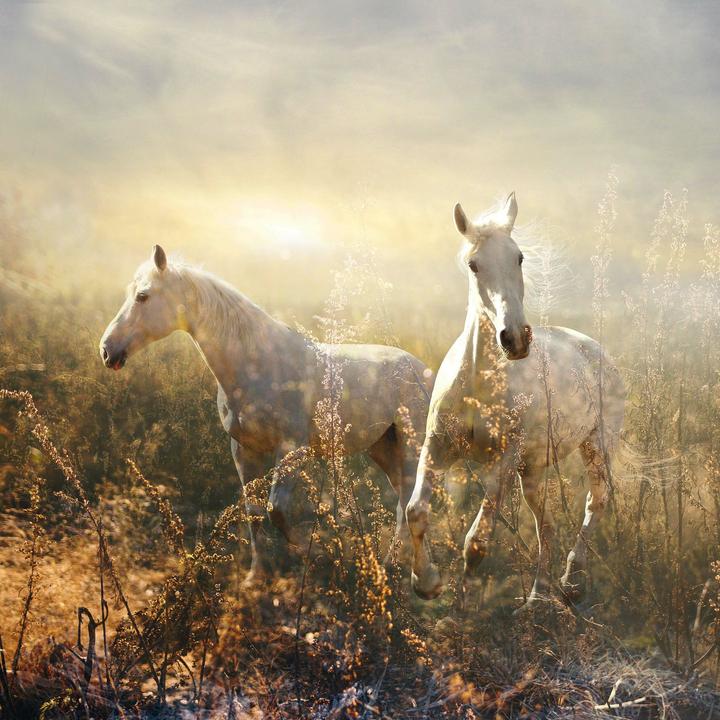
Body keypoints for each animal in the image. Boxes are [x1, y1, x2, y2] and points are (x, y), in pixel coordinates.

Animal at [99, 245, 432, 584]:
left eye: (143, 296)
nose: (107, 350)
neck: (259, 363)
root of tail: (422, 369)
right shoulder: (244, 450)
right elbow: (254, 512)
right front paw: (256, 575)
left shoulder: (292, 449)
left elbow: (276, 510)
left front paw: (313, 556)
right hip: (382, 448)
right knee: (403, 499)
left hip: (410, 447)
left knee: (410, 501)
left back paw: (403, 569)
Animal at [405, 193, 625, 607]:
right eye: (474, 265)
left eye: (519, 257)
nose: (516, 339)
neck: (478, 386)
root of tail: (595, 350)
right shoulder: (437, 448)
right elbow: (415, 512)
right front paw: (426, 582)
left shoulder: (503, 463)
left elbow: (477, 541)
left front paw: (463, 603)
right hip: (534, 472)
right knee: (547, 527)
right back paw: (537, 598)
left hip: (596, 446)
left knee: (596, 502)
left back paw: (572, 580)